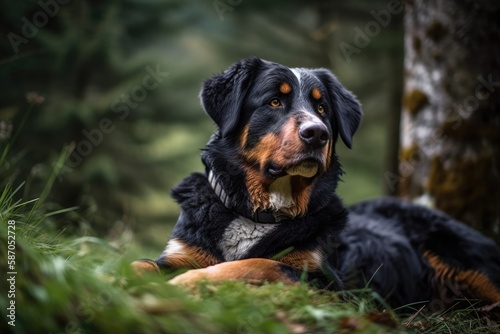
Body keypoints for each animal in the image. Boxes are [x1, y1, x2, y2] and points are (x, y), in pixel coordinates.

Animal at [133, 56, 500, 310]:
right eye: (274, 101)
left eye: (322, 107)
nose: (317, 134)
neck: (259, 212)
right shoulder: (182, 252)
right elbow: (142, 263)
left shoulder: (329, 283)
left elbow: (260, 263)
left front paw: (187, 283)